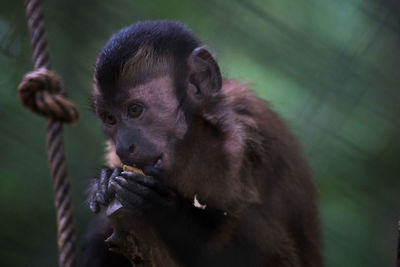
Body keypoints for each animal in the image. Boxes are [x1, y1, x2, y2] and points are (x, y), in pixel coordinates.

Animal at [77, 19, 322, 266]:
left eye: (135, 110)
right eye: (110, 119)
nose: (124, 146)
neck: (191, 144)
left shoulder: (237, 144)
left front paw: (161, 209)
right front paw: (104, 181)